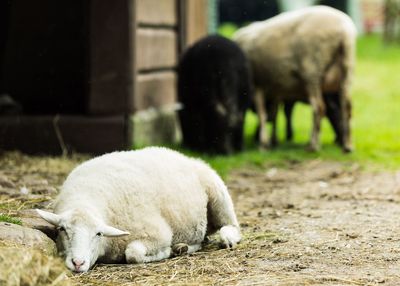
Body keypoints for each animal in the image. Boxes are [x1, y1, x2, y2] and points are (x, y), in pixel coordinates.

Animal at [36, 147, 241, 272]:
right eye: (62, 230)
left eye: (98, 234)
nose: (78, 263)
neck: (86, 197)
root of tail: (182, 155)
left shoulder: (158, 234)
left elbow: (133, 254)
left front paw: (165, 252)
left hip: (218, 193)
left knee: (231, 226)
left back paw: (222, 239)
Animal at [234, 5, 356, 152]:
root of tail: (344, 31)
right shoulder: (275, 89)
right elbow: (274, 114)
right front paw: (273, 141)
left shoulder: (257, 85)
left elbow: (262, 113)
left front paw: (264, 143)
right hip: (346, 70)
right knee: (347, 108)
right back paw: (347, 146)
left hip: (312, 71)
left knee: (319, 108)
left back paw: (313, 145)